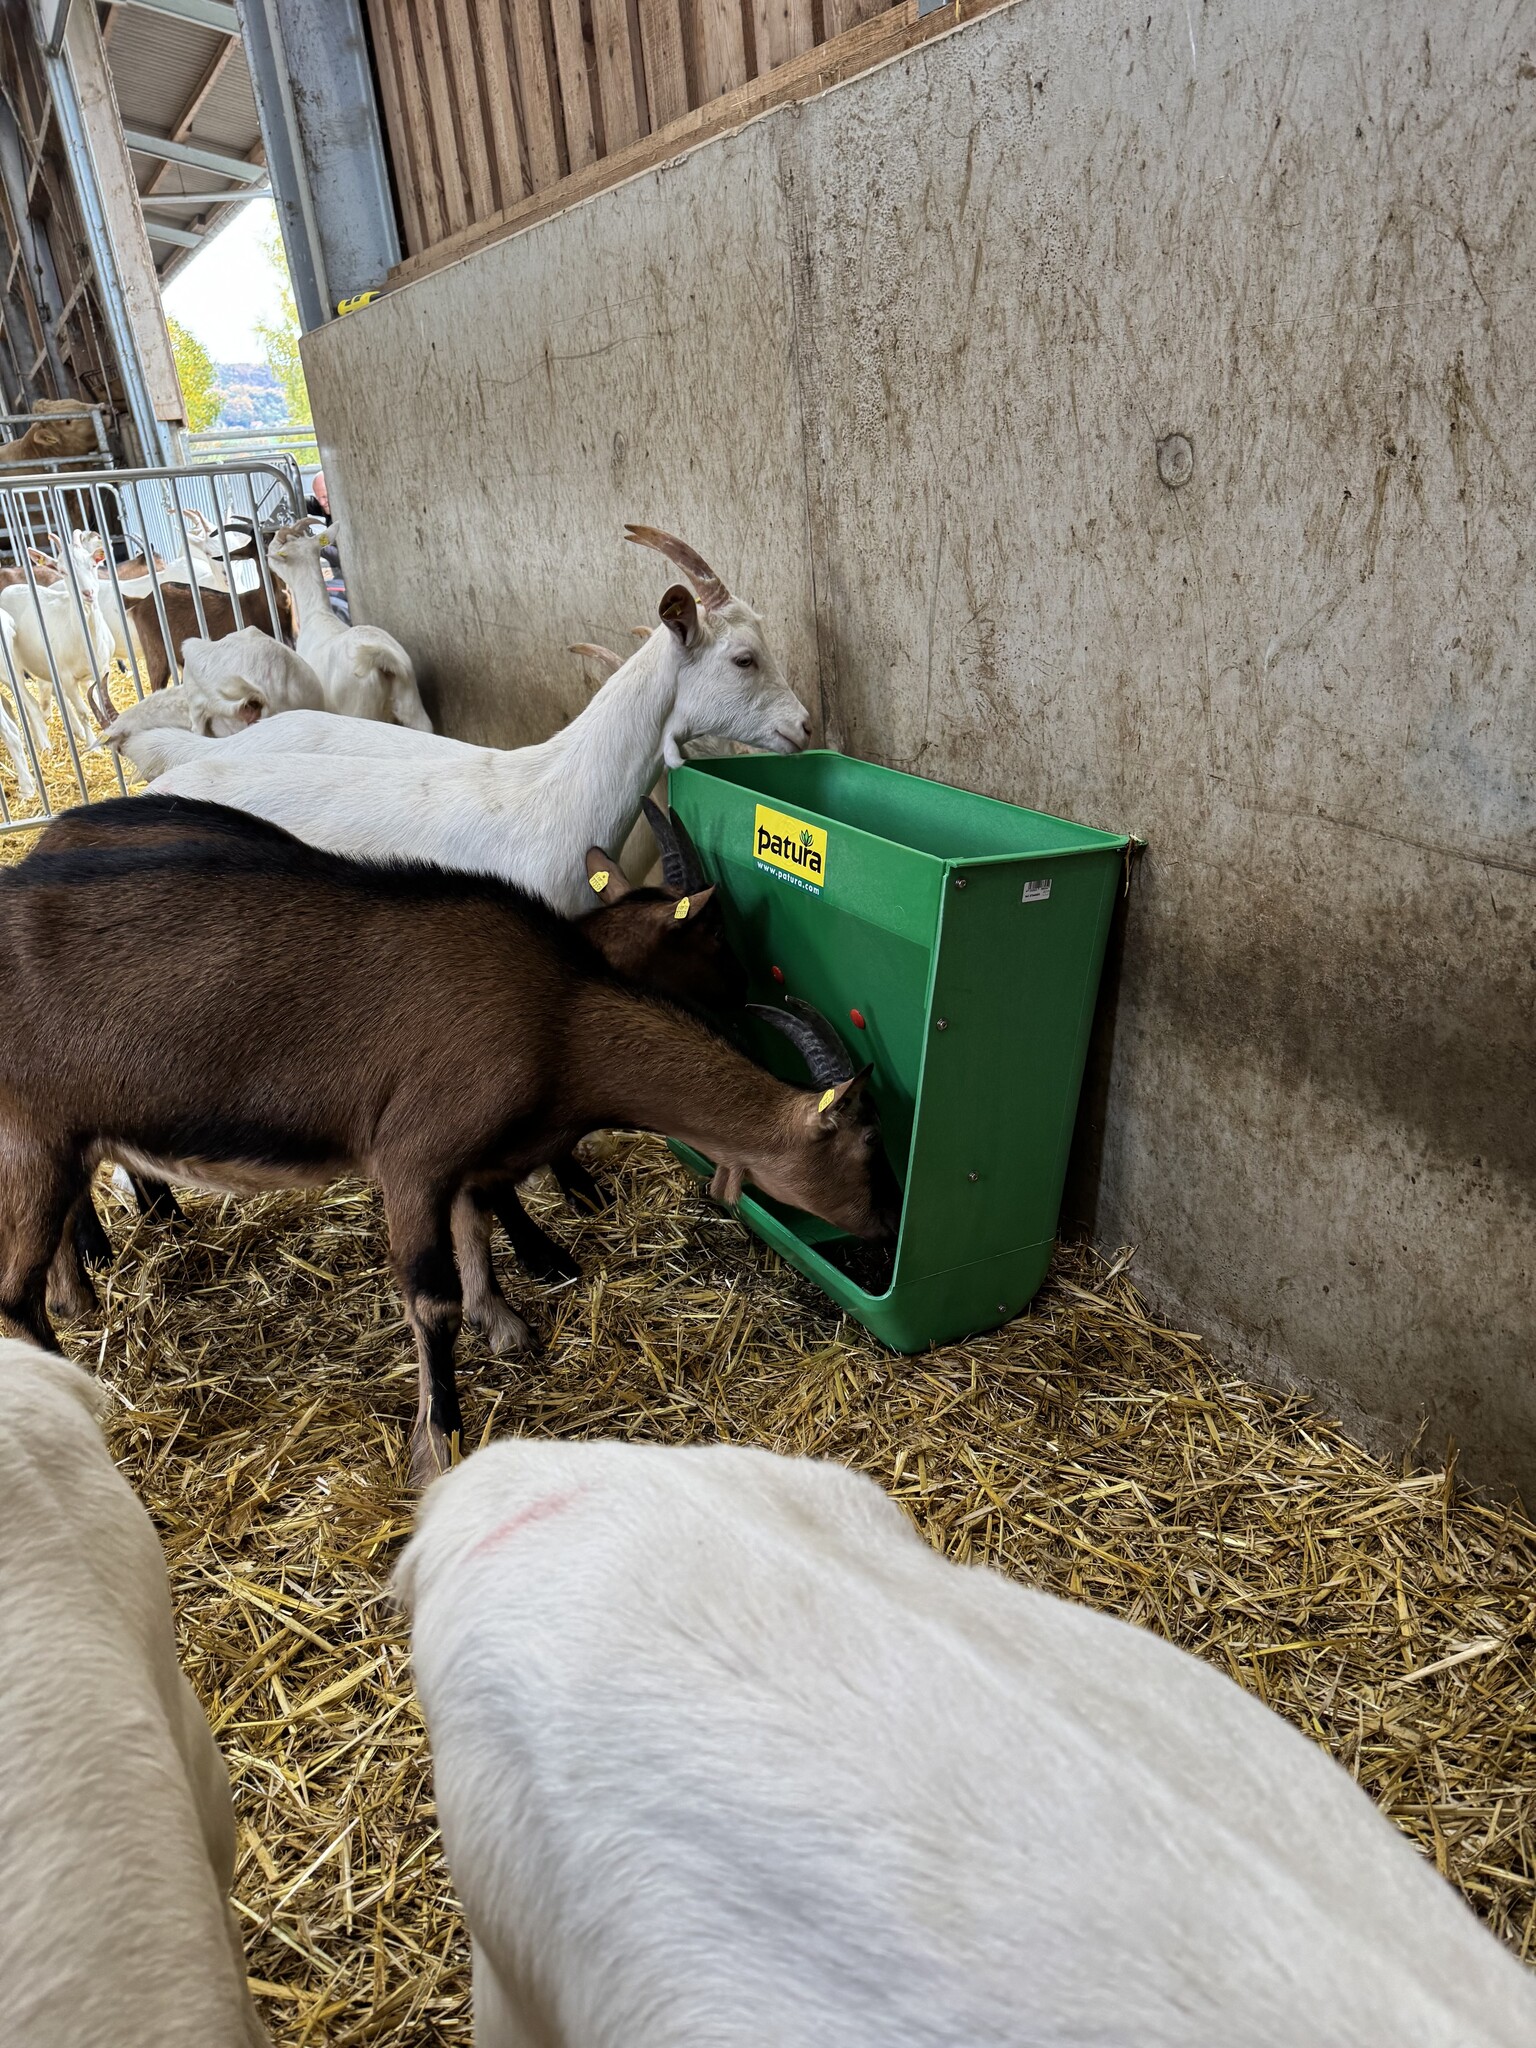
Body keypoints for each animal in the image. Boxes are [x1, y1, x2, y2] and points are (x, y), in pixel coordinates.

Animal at [0, 797, 897, 1481]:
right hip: (36, 1136)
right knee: (14, 1293)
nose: (886, 1235)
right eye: (868, 1150)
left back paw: (85, 1287)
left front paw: (505, 1321)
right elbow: (431, 1297)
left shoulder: (466, 1158)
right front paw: (440, 1439)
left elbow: (476, 1237)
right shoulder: (413, 1155)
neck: (560, 1017)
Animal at [266, 522, 431, 728]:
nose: (269, 548)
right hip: (413, 708)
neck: (317, 614)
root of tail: (383, 659)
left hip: (360, 709)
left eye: (283, 546)